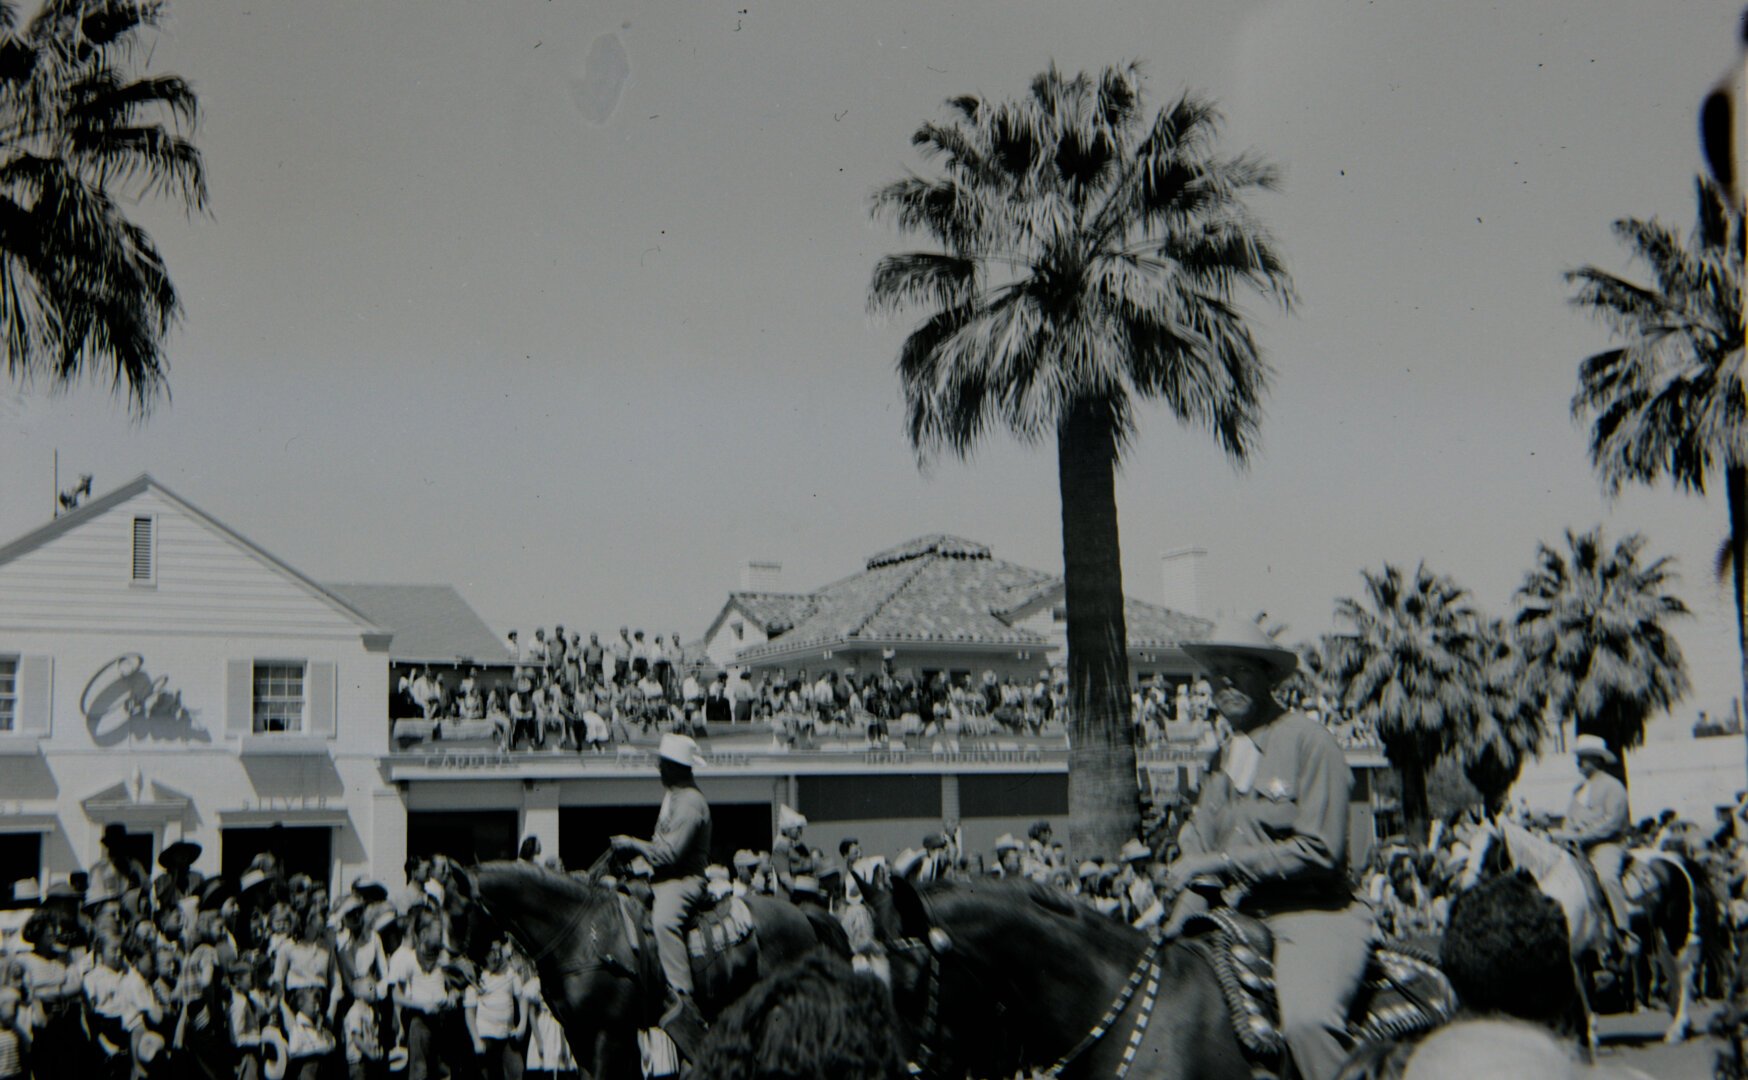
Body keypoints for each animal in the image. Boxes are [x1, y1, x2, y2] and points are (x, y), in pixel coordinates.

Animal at [464, 856, 832, 1076]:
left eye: (460, 906)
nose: (463, 971)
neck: (583, 932)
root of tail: (801, 915)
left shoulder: (606, 1034)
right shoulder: (582, 1033)